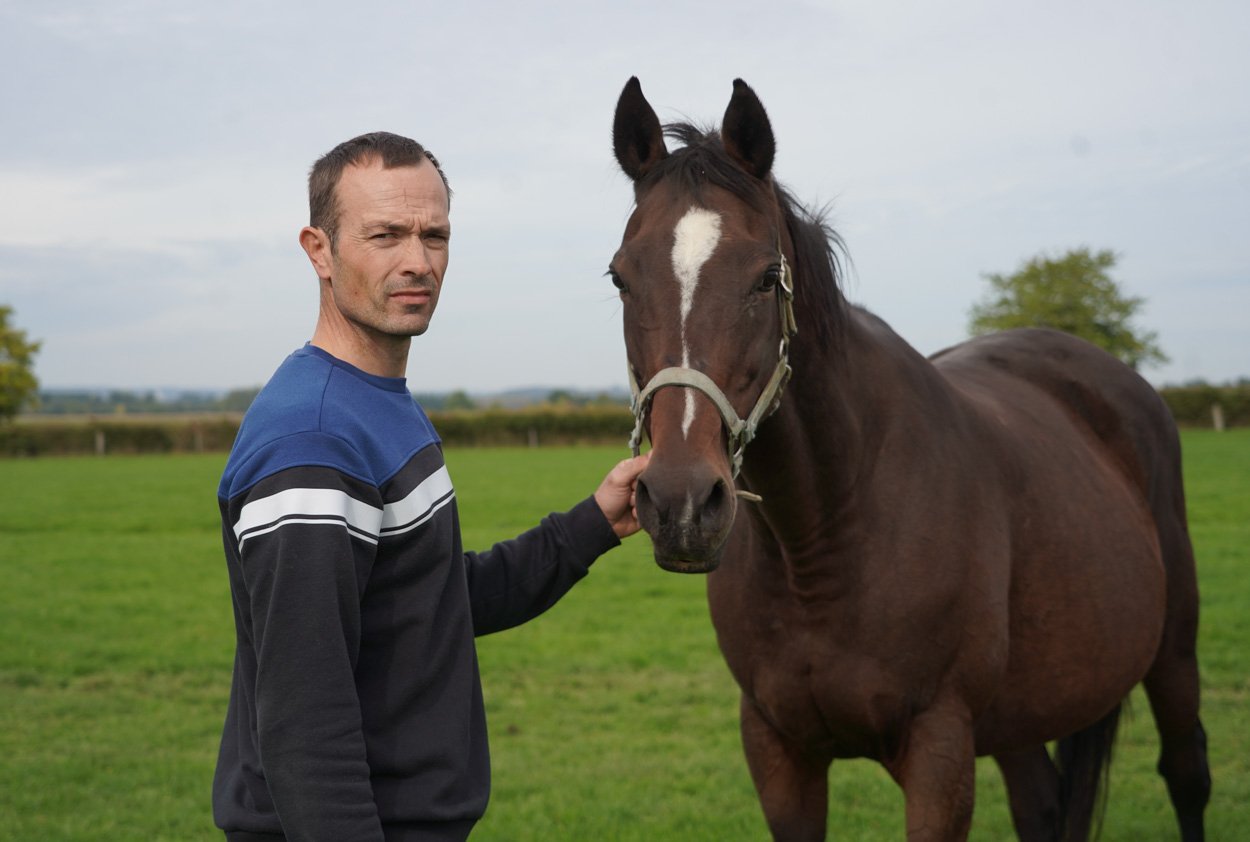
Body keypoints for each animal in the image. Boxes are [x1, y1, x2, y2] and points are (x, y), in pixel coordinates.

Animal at [608, 77, 1210, 841]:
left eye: (767, 278)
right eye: (621, 278)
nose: (681, 503)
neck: (825, 541)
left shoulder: (938, 751)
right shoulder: (778, 752)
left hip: (1174, 654)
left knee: (1186, 774)